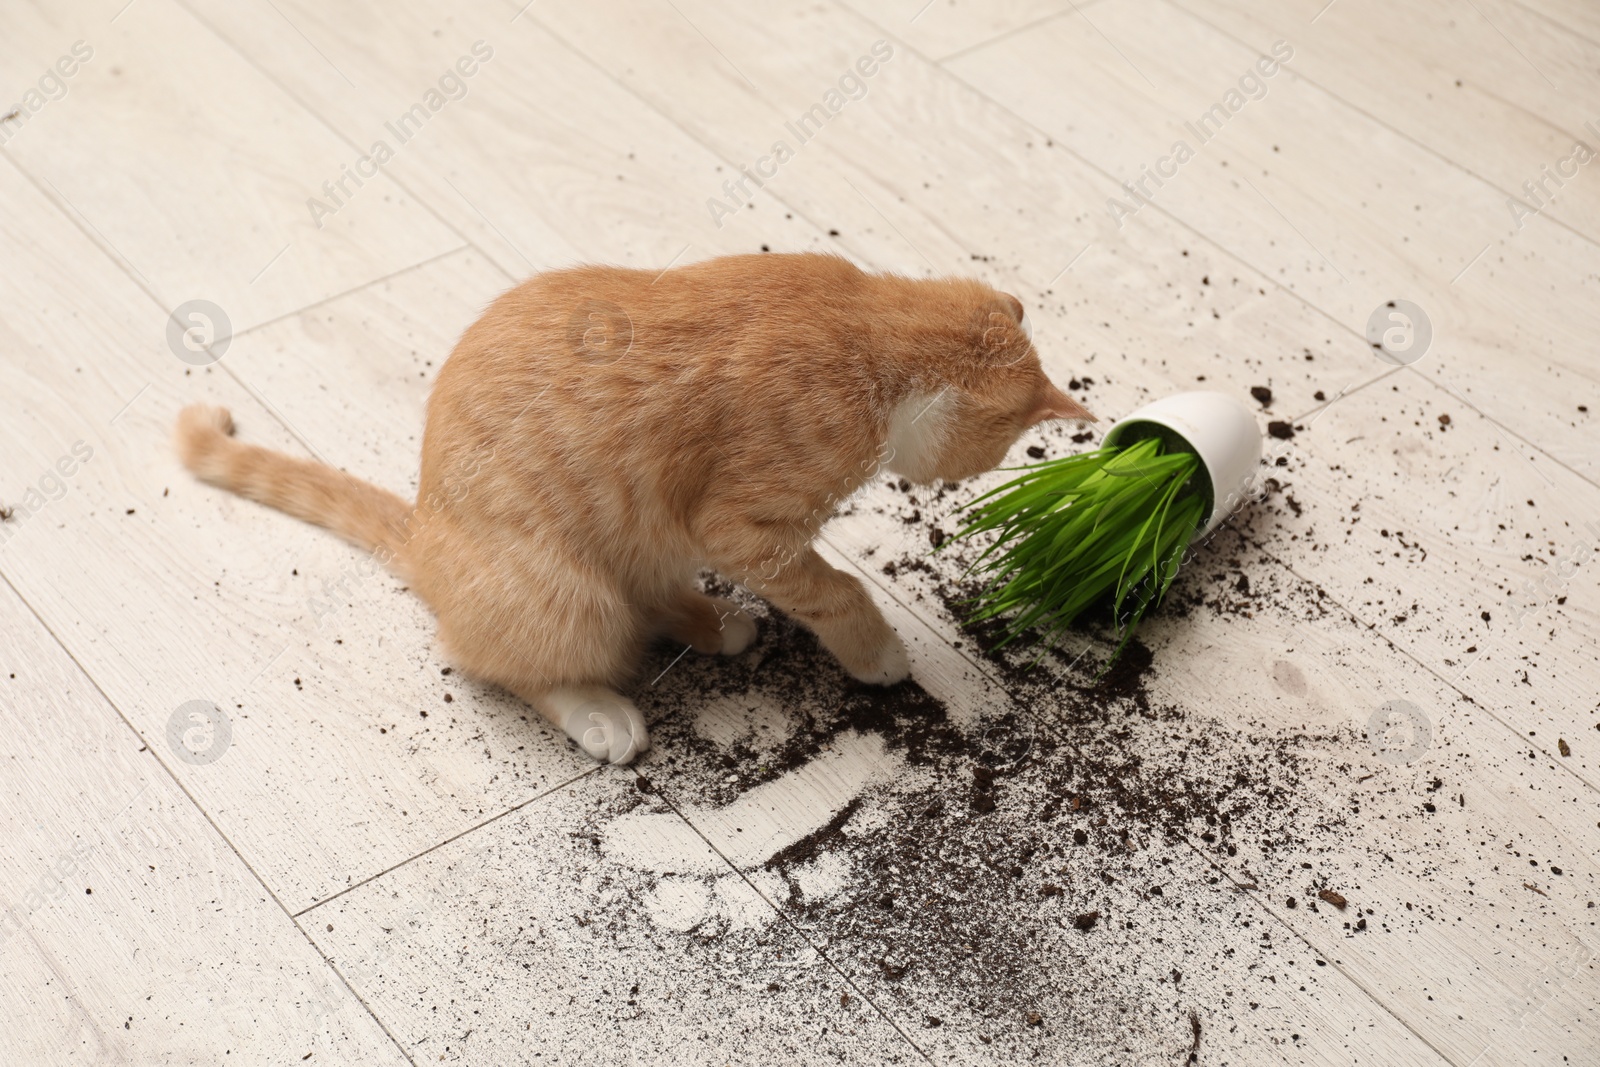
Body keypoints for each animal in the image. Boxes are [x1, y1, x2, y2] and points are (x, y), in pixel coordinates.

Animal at [178, 254, 1100, 764]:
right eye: (1002, 448)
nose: (978, 472)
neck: (868, 330)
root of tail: (427, 538)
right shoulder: (740, 525)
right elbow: (837, 587)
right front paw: (876, 651)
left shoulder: (713, 533)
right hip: (565, 591)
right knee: (509, 663)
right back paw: (599, 711)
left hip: (643, 541)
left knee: (647, 597)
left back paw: (712, 620)